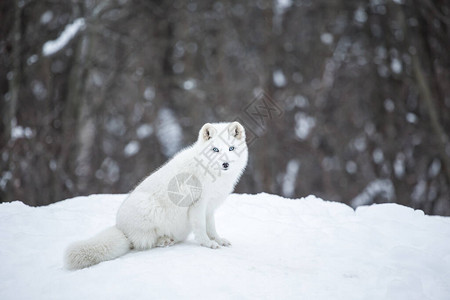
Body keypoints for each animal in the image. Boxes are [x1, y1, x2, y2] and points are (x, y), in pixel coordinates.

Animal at [63, 122, 248, 270]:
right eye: (215, 149)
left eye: (231, 148)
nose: (225, 164)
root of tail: (121, 229)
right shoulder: (198, 204)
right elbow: (202, 229)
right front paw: (207, 244)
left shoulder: (210, 207)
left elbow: (212, 228)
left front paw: (218, 240)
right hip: (150, 207)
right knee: (143, 243)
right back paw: (164, 240)